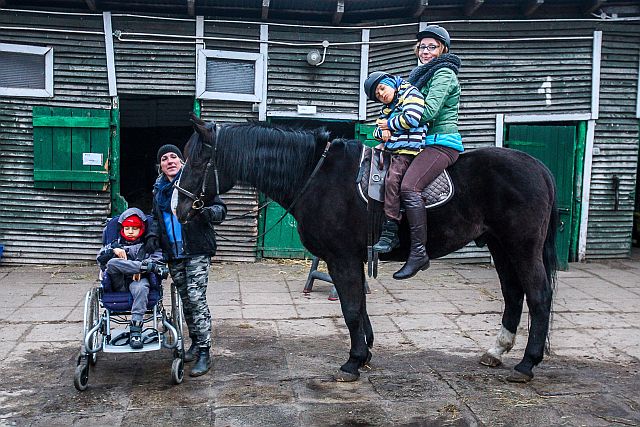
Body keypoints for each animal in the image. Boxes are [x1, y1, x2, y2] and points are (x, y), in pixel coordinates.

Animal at [174, 117, 556, 384]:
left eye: (197, 162)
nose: (179, 207)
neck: (315, 175)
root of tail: (538, 166)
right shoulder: (350, 259)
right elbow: (359, 305)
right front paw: (367, 351)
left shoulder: (341, 257)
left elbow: (351, 308)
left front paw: (353, 361)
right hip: (500, 246)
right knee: (513, 294)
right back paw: (497, 350)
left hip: (521, 246)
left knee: (538, 295)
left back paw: (526, 363)